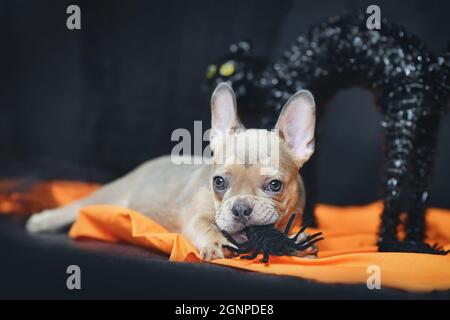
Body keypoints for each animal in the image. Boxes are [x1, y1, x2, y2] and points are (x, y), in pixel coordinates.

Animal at [26, 82, 316, 260]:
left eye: (275, 186)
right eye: (218, 182)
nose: (241, 208)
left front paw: (297, 240)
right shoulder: (195, 217)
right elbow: (205, 226)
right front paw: (216, 242)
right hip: (108, 196)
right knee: (76, 207)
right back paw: (42, 220)